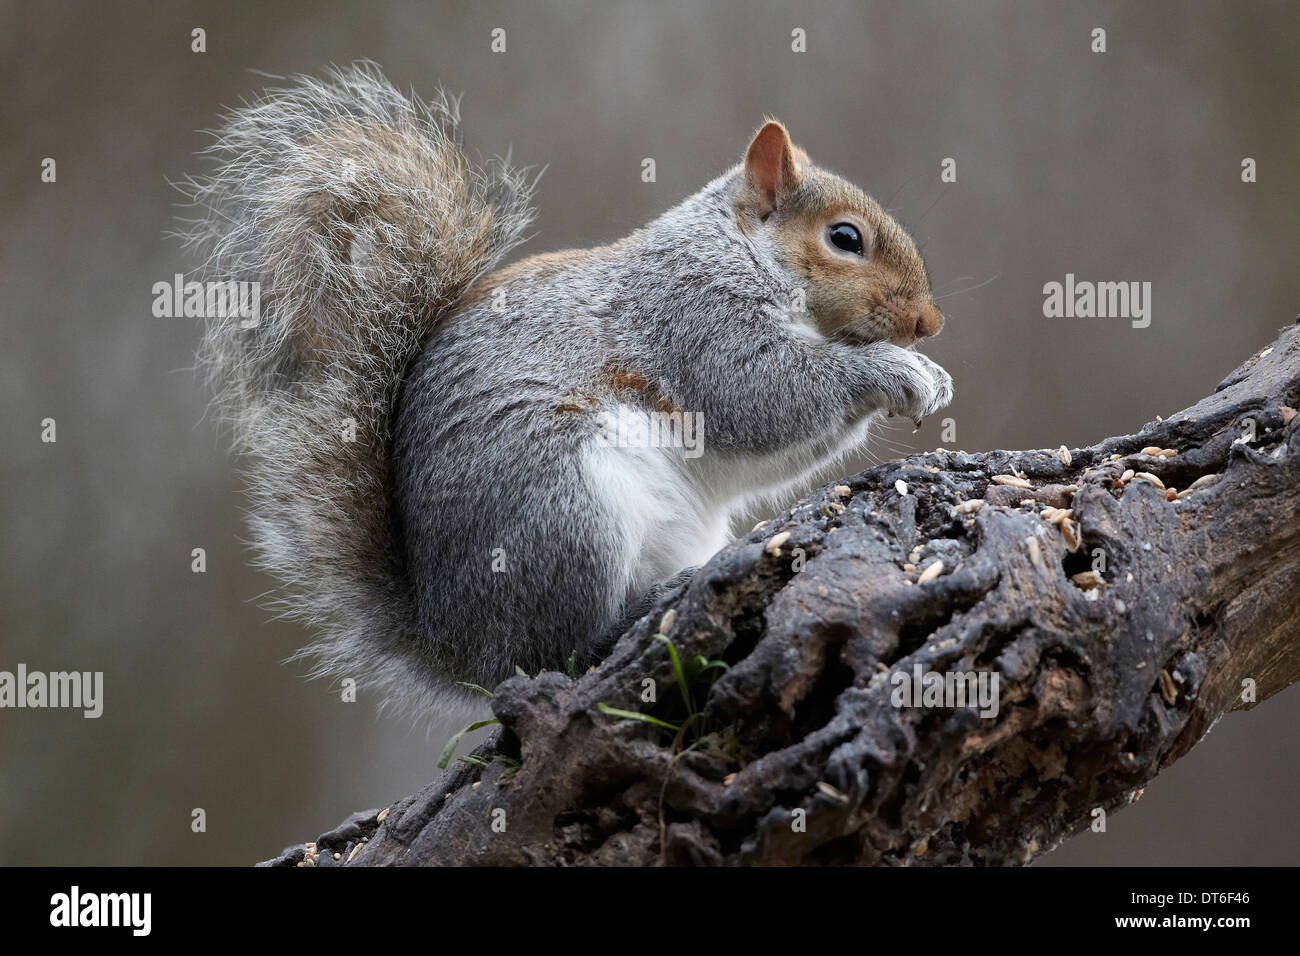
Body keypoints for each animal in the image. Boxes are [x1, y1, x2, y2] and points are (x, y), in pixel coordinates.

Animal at [183, 63, 951, 712]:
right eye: (845, 238)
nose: (929, 324)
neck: (740, 253)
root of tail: (454, 643)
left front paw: (931, 376)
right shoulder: (691, 319)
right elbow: (760, 396)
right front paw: (894, 370)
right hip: (568, 505)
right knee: (556, 652)